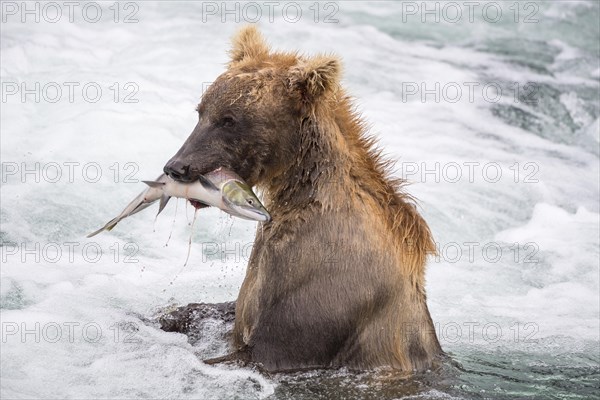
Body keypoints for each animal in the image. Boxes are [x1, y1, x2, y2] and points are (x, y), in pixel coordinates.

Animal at [162, 26, 442, 374]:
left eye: (229, 119)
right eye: (201, 111)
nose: (177, 166)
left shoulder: (321, 293)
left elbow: (265, 348)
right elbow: (227, 308)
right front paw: (168, 315)